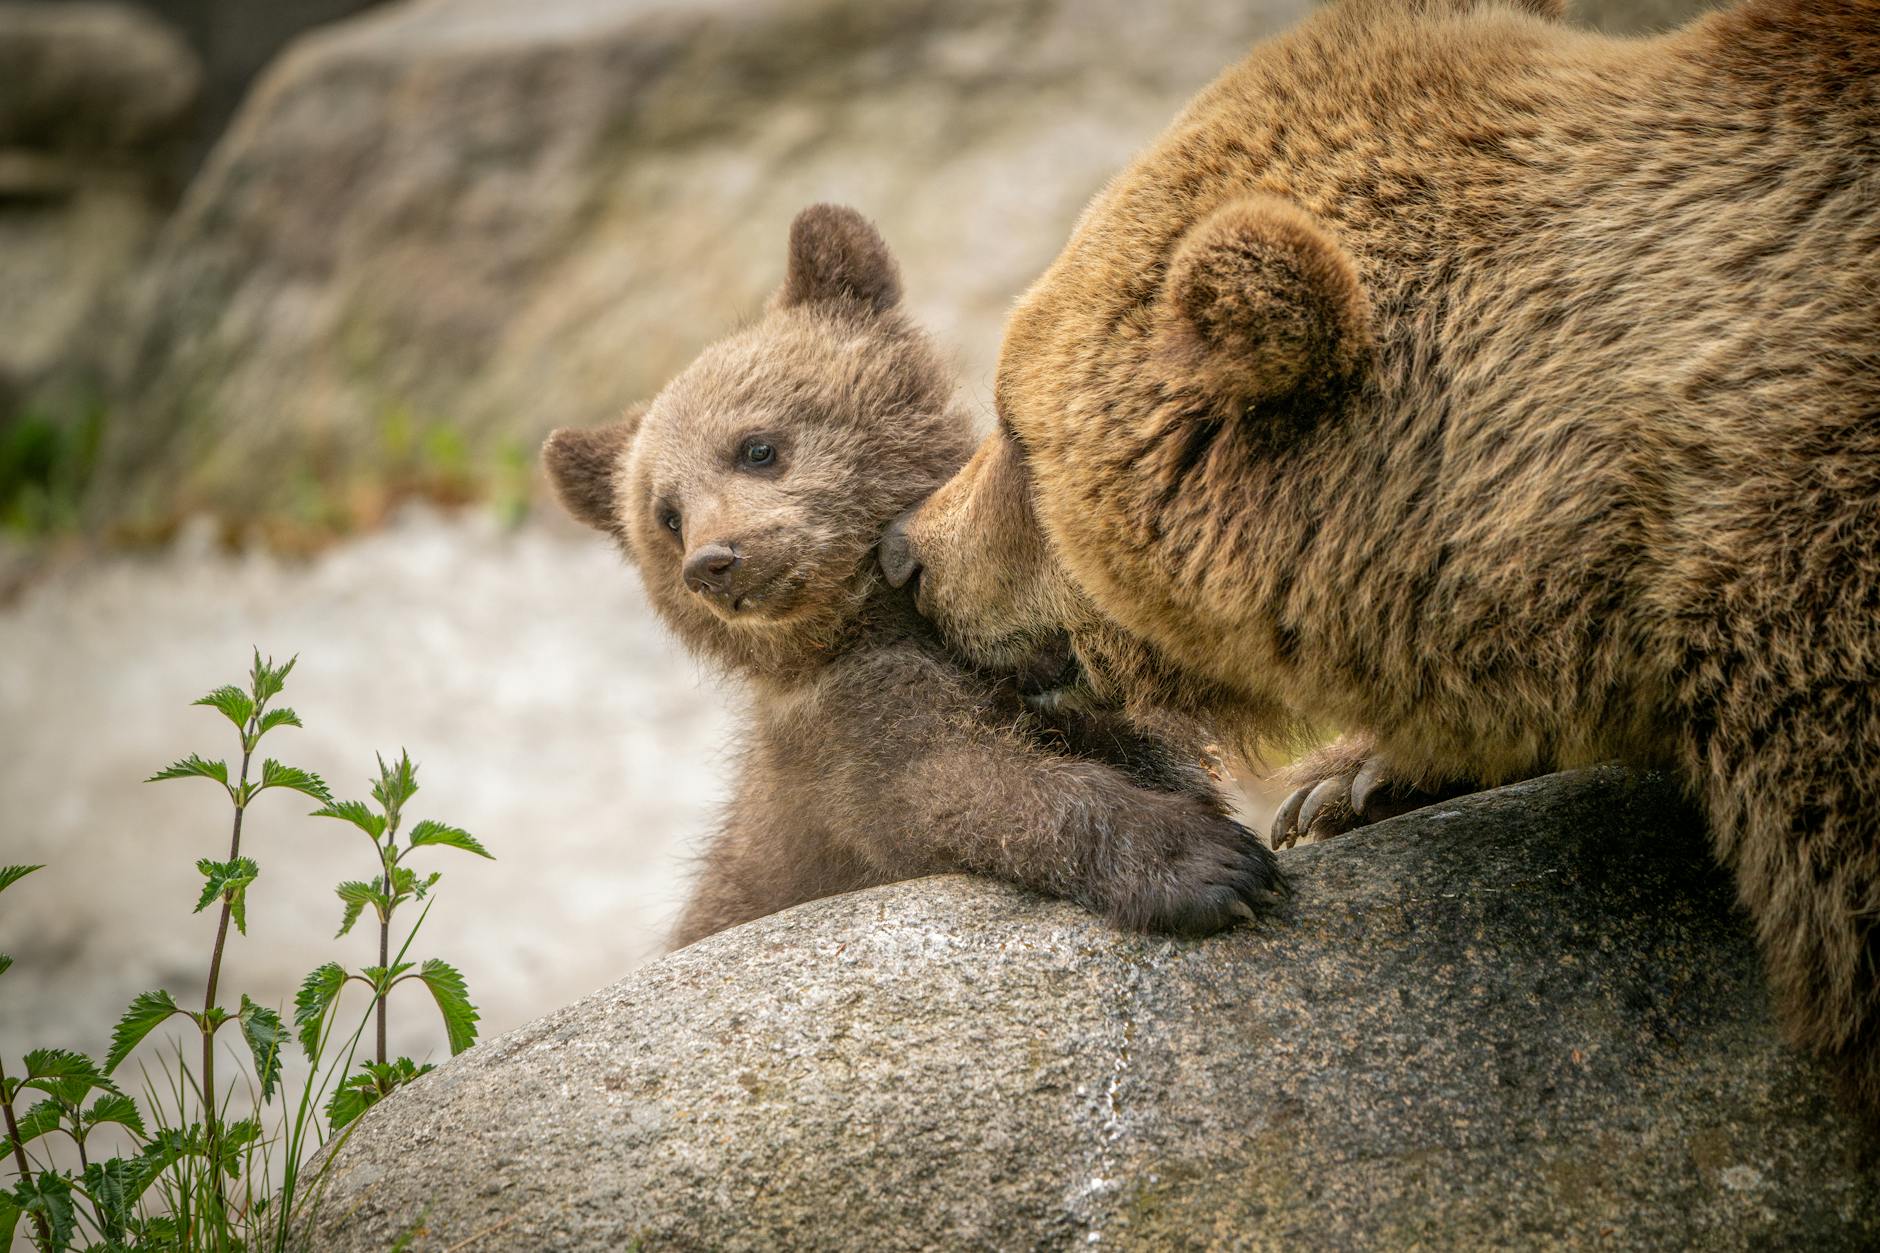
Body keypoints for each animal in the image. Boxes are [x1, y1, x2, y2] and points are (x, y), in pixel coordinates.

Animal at [542, 204, 1282, 949]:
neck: (879, 620)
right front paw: (1210, 864)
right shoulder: (851, 735)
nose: (713, 561)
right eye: (666, 515)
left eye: (756, 447)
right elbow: (960, 788)